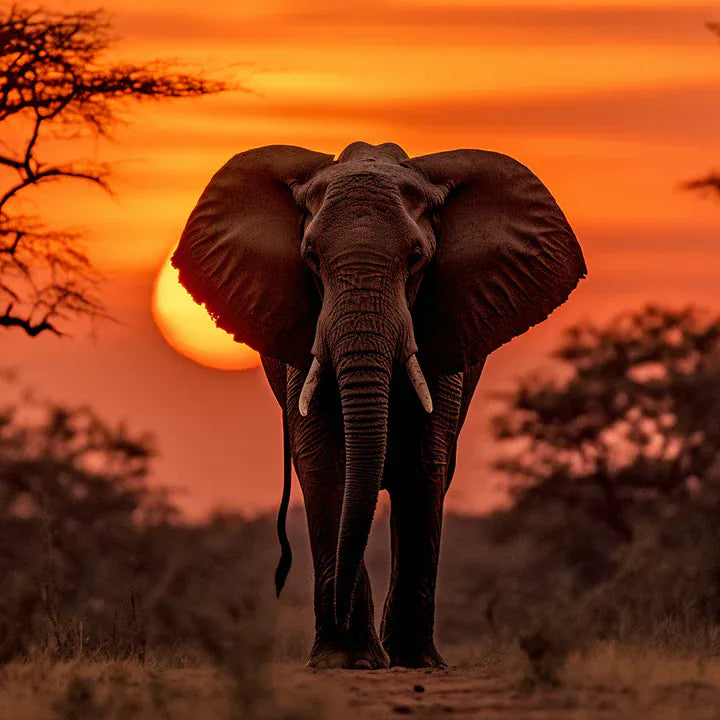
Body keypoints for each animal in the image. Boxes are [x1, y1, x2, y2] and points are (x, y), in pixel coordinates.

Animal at [172, 141, 586, 670]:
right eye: (311, 257)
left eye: (416, 257)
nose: (338, 613)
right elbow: (326, 462)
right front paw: (345, 660)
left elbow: (425, 465)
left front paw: (414, 662)